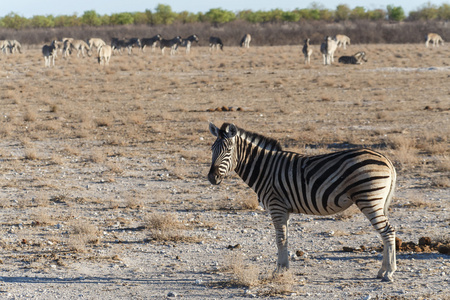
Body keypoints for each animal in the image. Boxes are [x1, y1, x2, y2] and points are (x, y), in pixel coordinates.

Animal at [207, 122, 398, 282]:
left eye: (228, 150)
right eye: (212, 149)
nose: (211, 177)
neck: (265, 169)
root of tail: (387, 160)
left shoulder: (276, 206)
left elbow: (280, 239)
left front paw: (279, 270)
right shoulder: (284, 209)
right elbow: (285, 238)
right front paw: (284, 267)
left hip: (369, 199)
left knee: (388, 231)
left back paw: (388, 272)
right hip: (378, 202)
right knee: (386, 232)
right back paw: (383, 270)